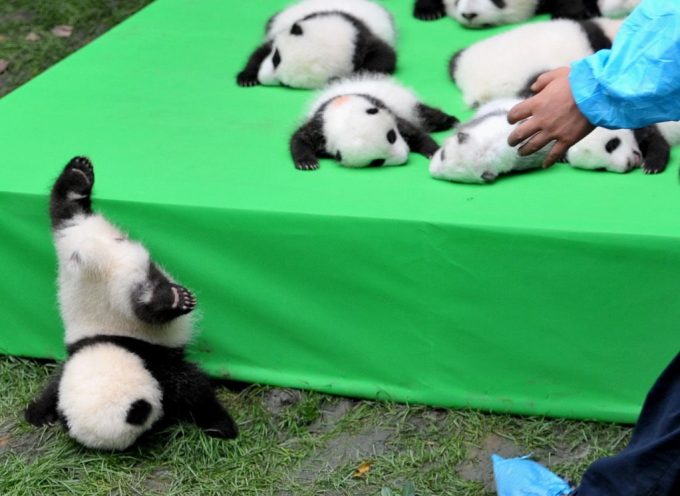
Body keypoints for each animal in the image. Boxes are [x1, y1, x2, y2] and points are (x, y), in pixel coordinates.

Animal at [24, 157, 238, 451]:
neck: (112, 345)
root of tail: (91, 256)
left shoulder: (153, 360)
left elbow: (194, 390)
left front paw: (221, 426)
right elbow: (55, 385)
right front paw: (39, 413)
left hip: (92, 269)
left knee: (143, 308)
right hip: (75, 244)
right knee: (66, 211)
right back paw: (77, 177)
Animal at [236, 0, 397, 89]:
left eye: (284, 84)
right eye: (276, 58)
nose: (261, 78)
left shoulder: (365, 40)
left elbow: (385, 57)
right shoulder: (286, 27)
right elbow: (262, 50)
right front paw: (247, 78)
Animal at [290, 74, 458, 170]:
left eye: (392, 136)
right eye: (377, 162)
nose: (404, 156)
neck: (343, 112)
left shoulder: (387, 109)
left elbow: (414, 132)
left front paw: (432, 151)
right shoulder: (320, 125)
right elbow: (300, 138)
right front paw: (307, 162)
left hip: (408, 104)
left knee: (427, 115)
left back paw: (450, 120)